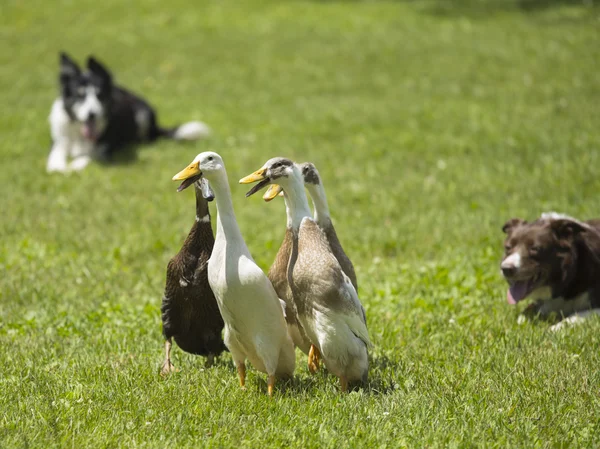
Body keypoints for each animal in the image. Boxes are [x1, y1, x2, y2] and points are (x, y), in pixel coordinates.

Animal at [45, 51, 209, 172]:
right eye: (79, 95)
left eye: (100, 96)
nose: (92, 115)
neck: (79, 134)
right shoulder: (58, 142)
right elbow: (55, 160)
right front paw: (60, 168)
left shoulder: (105, 148)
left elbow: (89, 156)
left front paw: (75, 165)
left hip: (143, 112)